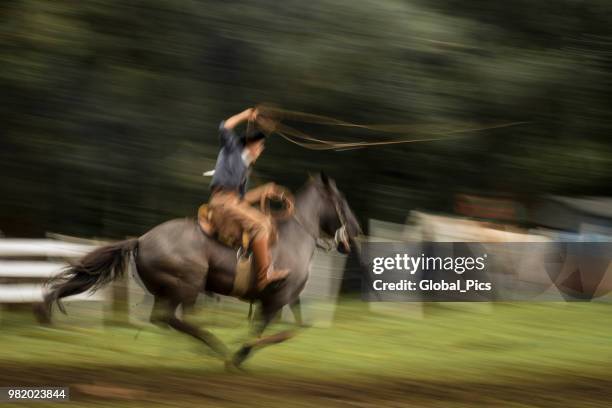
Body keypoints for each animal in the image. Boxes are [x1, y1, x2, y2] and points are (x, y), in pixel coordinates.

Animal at [35, 174, 360, 368]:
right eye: (341, 201)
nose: (355, 230)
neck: (293, 237)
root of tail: (141, 240)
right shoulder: (275, 300)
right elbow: (271, 331)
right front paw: (239, 353)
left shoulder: (289, 299)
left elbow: (296, 329)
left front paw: (241, 351)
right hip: (187, 285)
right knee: (176, 318)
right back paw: (215, 347)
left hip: (171, 291)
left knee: (165, 319)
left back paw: (201, 348)